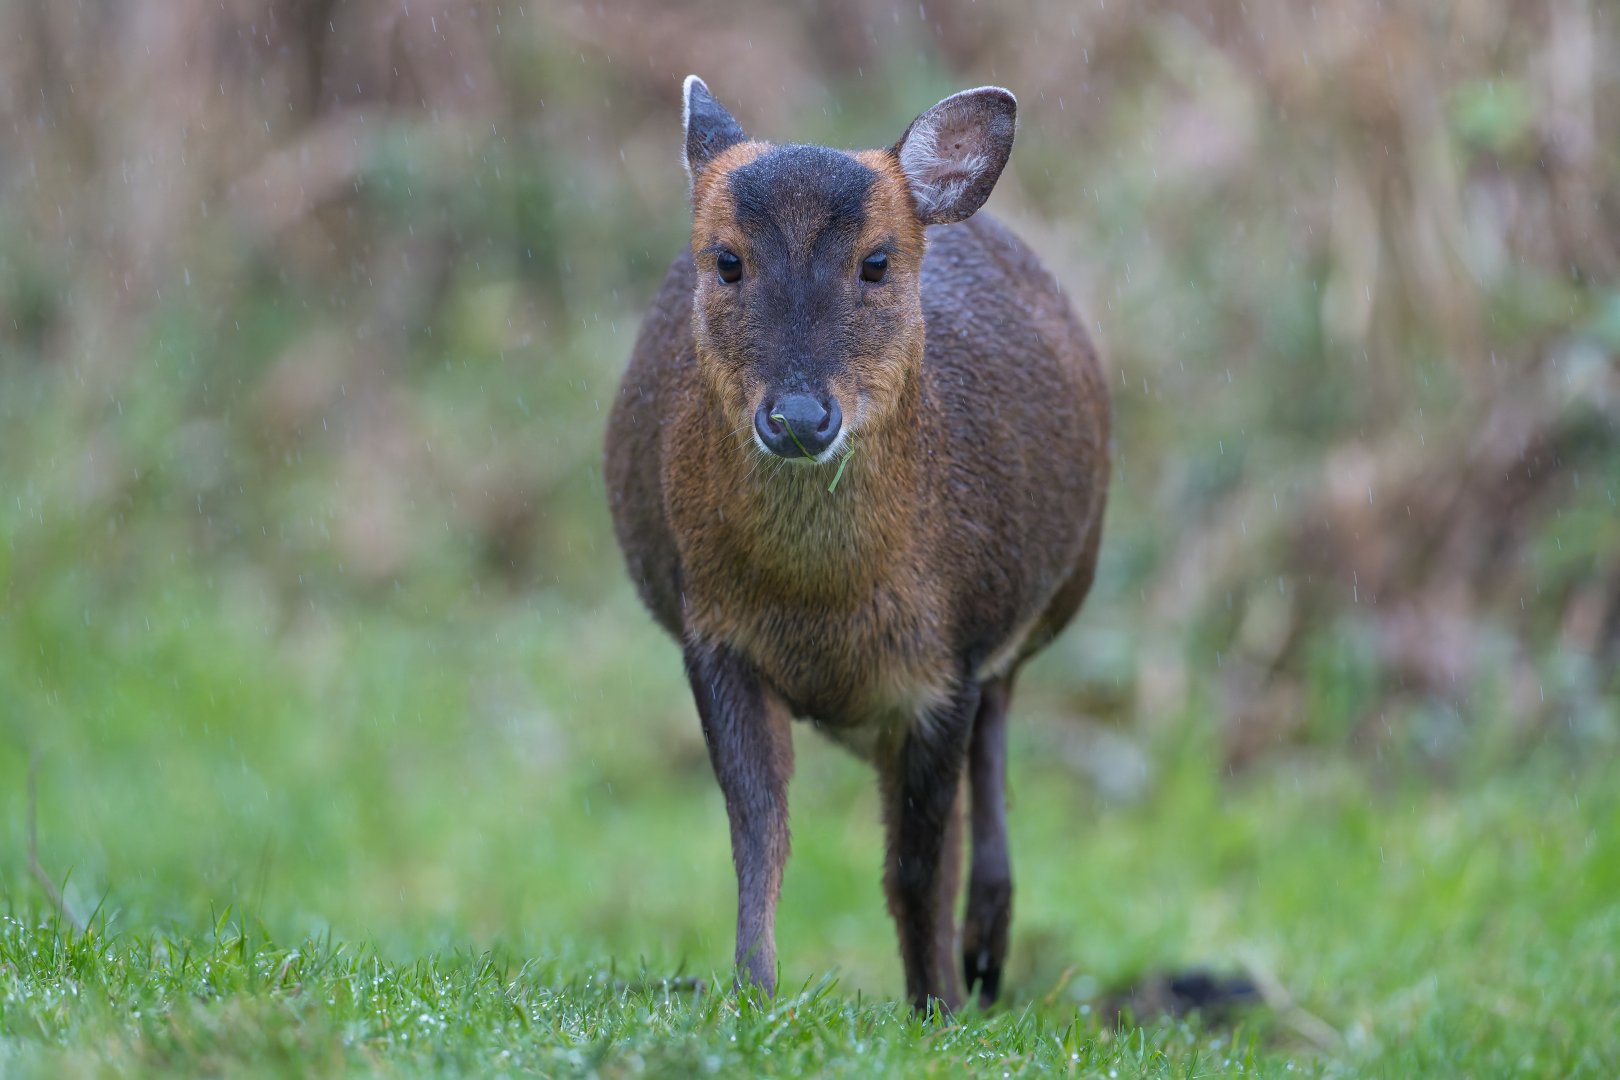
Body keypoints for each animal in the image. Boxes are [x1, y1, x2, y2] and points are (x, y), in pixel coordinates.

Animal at [604, 76, 1110, 1012]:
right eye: (726, 260)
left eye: (876, 262)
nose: (800, 417)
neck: (822, 602)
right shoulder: (713, 634)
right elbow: (760, 837)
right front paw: (755, 990)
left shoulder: (949, 658)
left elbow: (914, 865)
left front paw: (936, 1006)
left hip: (1051, 593)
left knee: (997, 729)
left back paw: (986, 952)